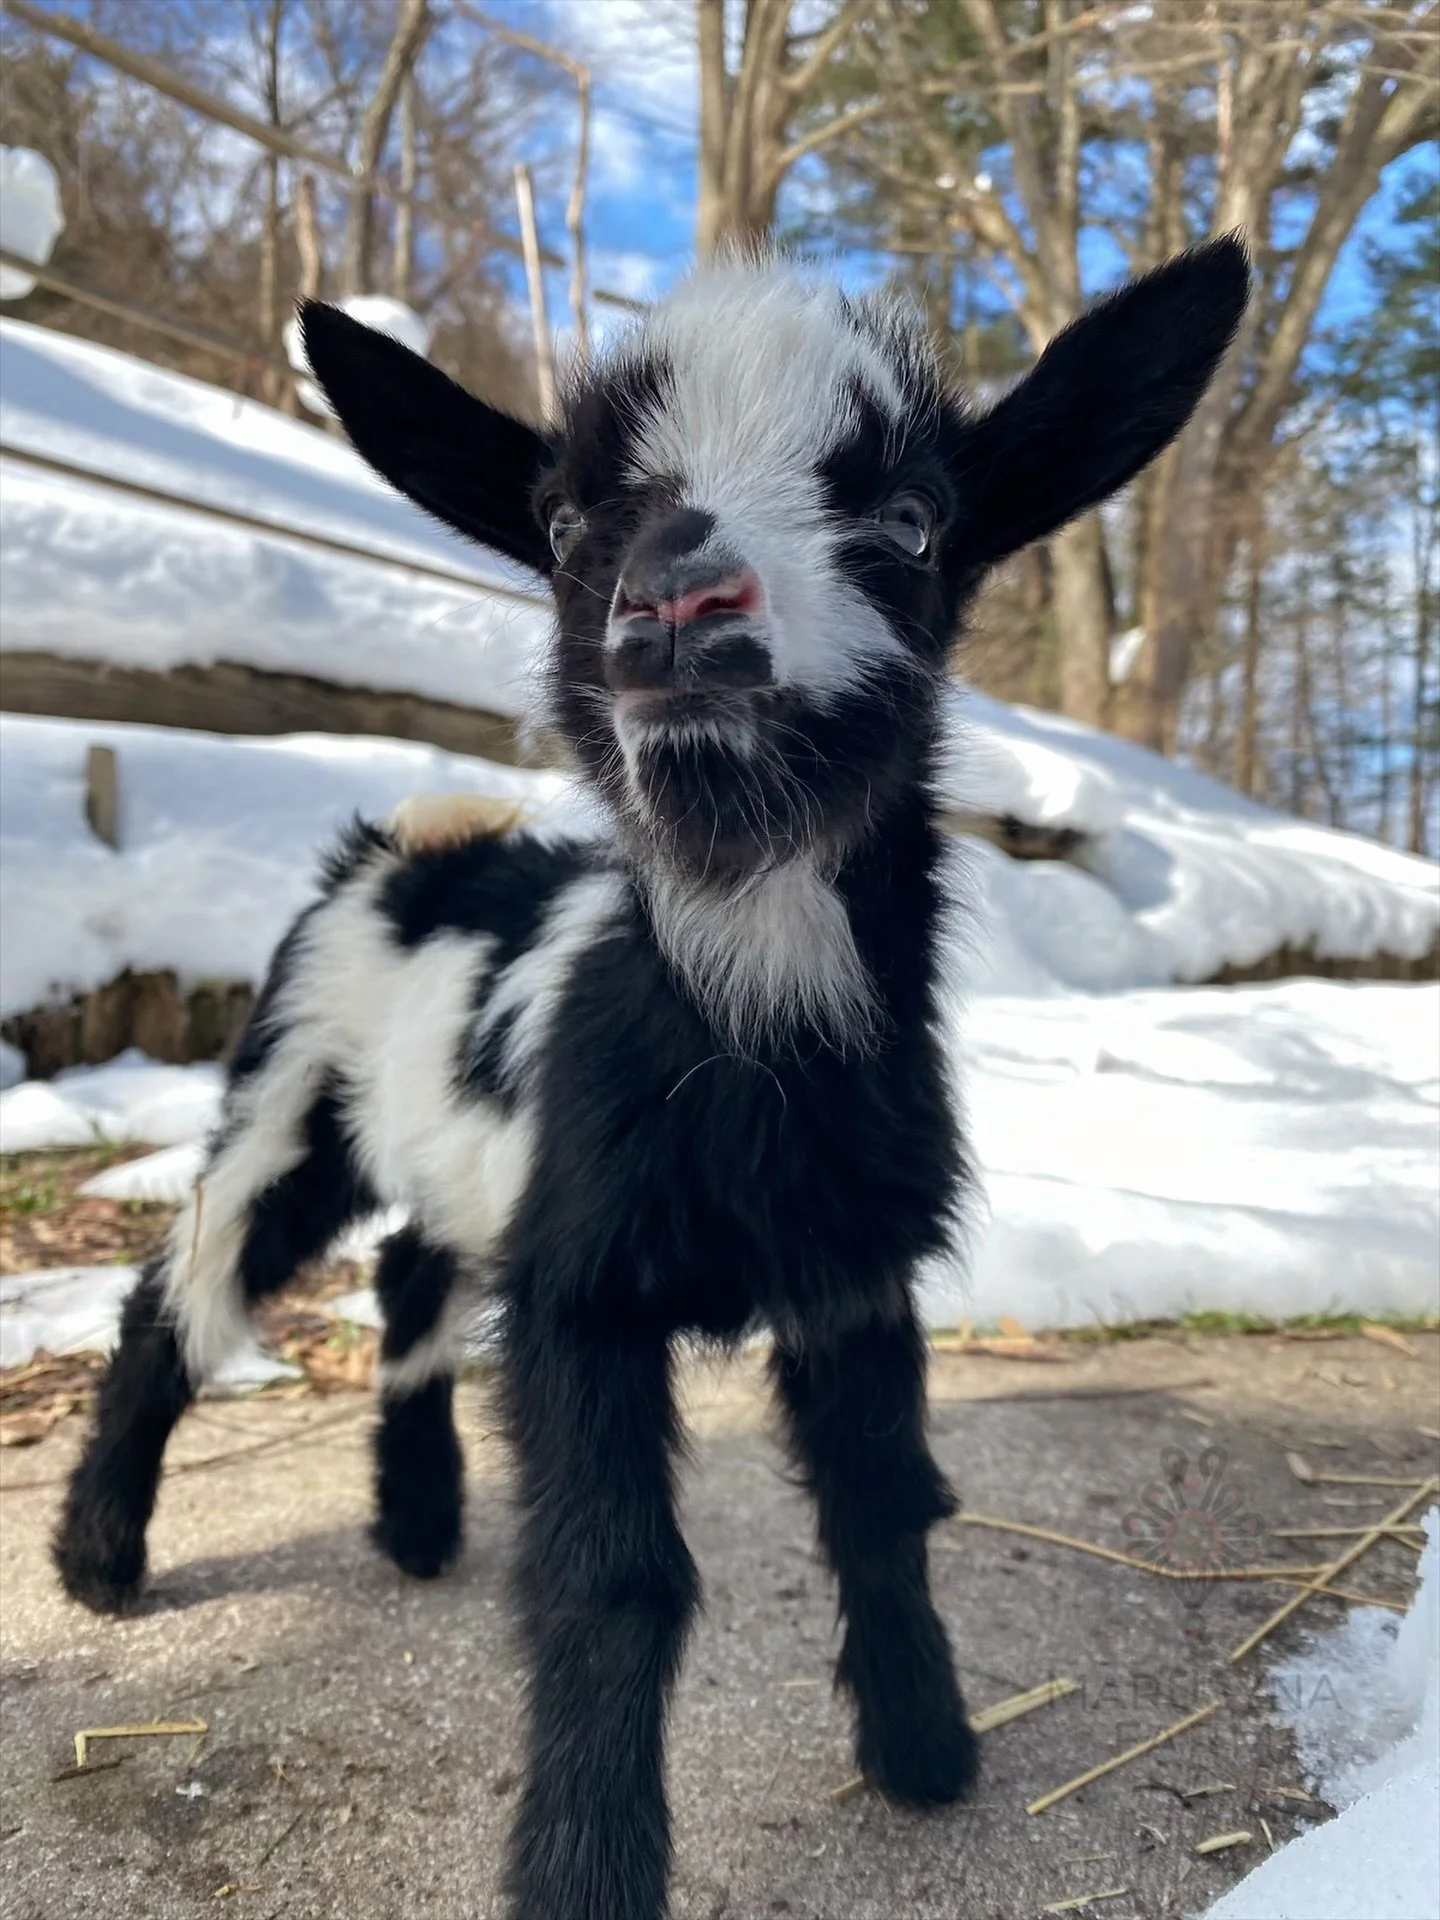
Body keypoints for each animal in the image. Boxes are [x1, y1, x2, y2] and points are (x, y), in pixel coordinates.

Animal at [54, 240, 1248, 1920]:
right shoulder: (586, 1286)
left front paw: (926, 1751)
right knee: (186, 1292)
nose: (679, 600)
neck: (748, 1045)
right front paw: (584, 1869)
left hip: (461, 1147)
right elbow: (615, 1576)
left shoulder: (850, 1269)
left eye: (912, 519)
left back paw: (416, 1523)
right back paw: (102, 1559)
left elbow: (885, 1501)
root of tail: (416, 840)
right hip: (288, 1098)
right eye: (559, 524)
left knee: (413, 1273)